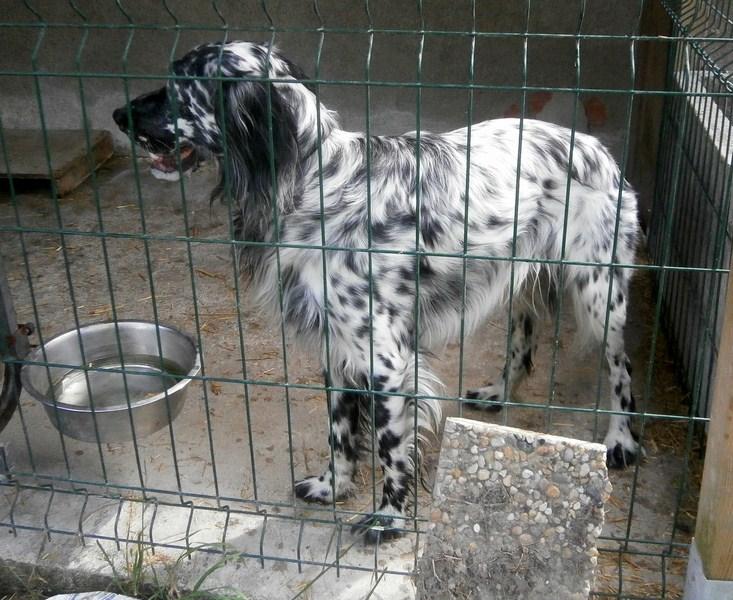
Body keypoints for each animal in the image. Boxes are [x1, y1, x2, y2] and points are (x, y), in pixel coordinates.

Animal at [114, 41, 641, 542]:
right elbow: (340, 432)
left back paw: (622, 441)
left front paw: (389, 519)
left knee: (620, 370)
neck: (314, 183)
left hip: (600, 293)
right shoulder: (336, 347)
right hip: (520, 283)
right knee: (522, 347)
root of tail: (594, 145)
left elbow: (390, 448)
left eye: (179, 86)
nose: (120, 115)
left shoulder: (387, 363)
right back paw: (497, 393)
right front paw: (332, 487)